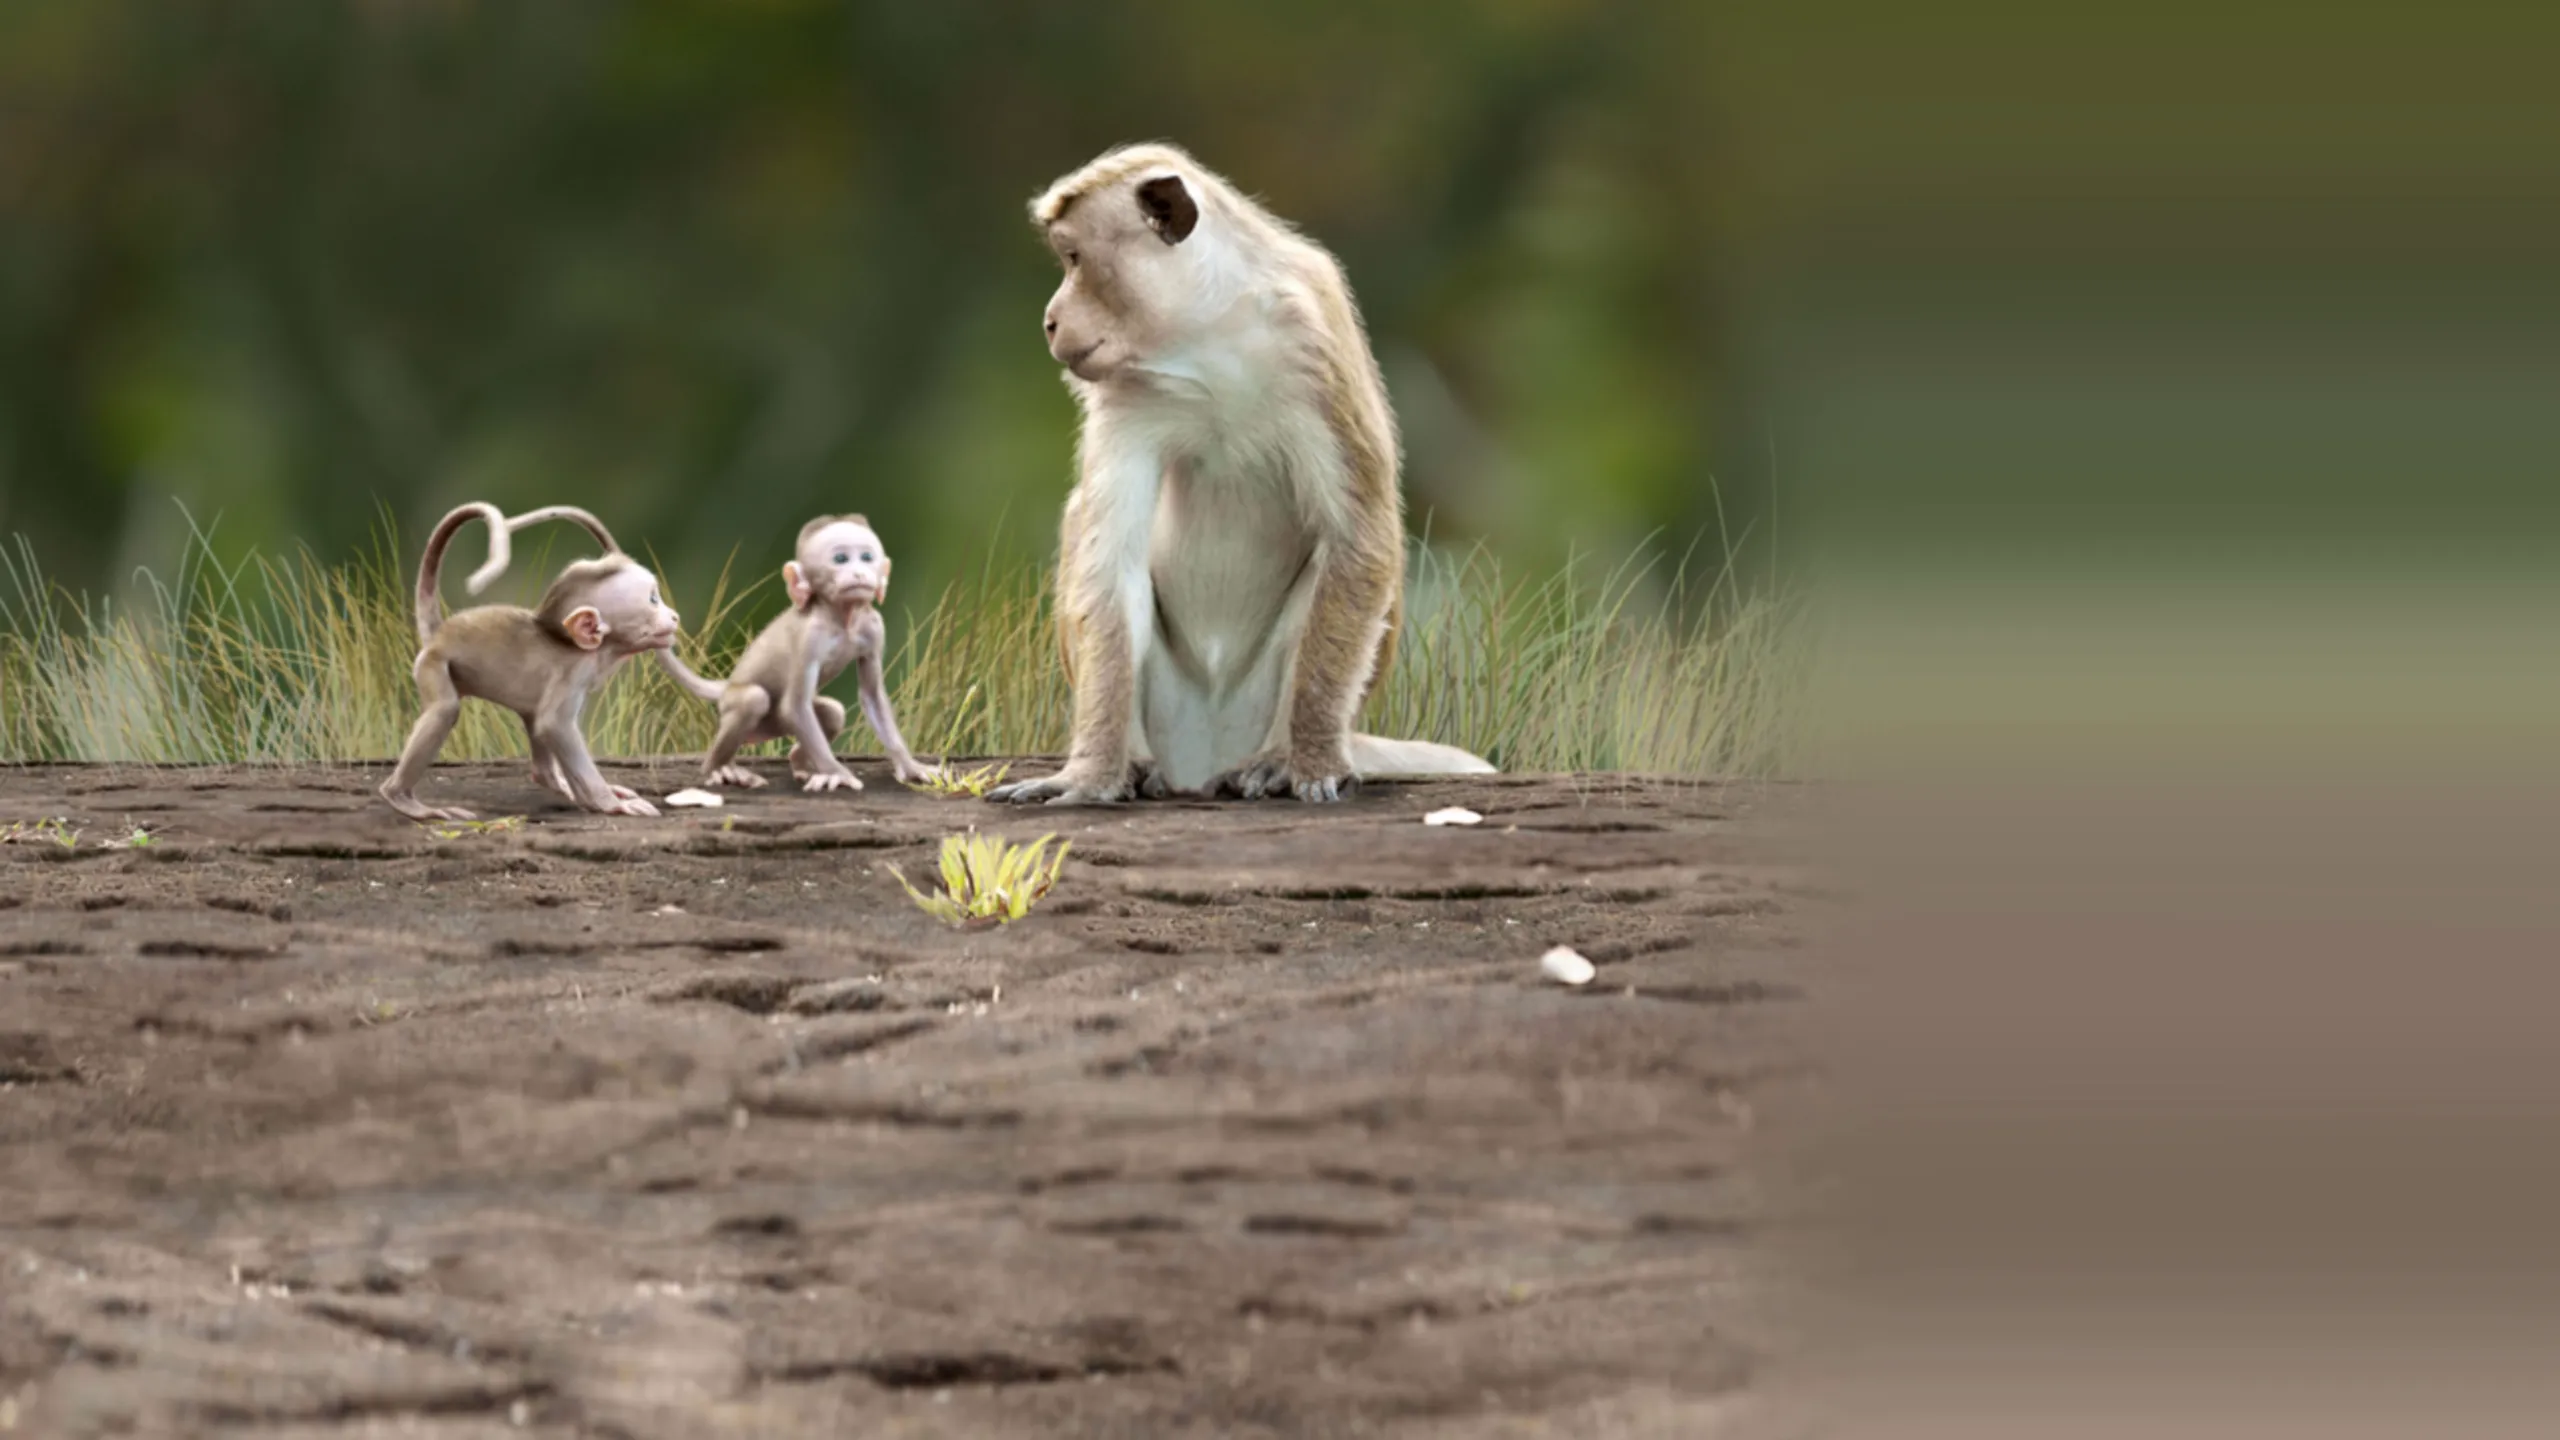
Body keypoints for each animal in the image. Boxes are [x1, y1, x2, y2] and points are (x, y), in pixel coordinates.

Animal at [378, 503, 680, 822]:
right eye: (653, 600)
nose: (674, 616)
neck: (589, 648)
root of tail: (439, 634)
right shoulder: (574, 673)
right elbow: (554, 725)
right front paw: (610, 803)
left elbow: (546, 724)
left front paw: (590, 795)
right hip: (433, 665)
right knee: (446, 710)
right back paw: (403, 799)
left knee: (531, 718)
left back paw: (554, 781)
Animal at [654, 514, 937, 793]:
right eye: (840, 559)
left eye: (867, 557)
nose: (859, 572)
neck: (841, 618)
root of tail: (728, 685)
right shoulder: (809, 637)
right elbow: (795, 705)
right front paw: (837, 773)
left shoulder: (874, 627)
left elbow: (872, 696)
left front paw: (911, 767)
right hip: (736, 707)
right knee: (753, 700)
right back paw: (719, 767)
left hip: (774, 725)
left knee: (833, 713)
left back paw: (800, 763)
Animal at [989, 142, 1495, 808]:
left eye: (1074, 258)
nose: (1050, 320)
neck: (1207, 337)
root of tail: (1202, 760)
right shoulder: (1125, 393)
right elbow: (1109, 561)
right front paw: (1090, 775)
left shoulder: (1313, 340)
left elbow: (1359, 539)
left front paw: (1311, 761)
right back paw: (1135, 763)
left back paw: (1279, 757)